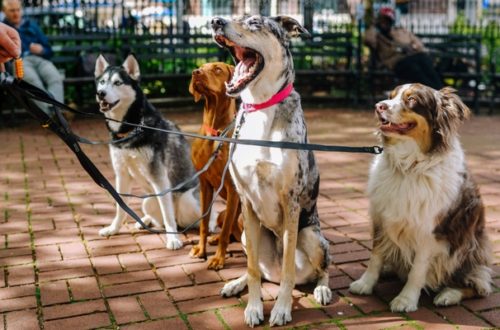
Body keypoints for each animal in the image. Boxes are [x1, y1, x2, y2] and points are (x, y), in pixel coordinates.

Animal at [94, 54, 213, 250]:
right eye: (102, 82)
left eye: (118, 83)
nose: (101, 93)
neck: (132, 128)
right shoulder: (121, 174)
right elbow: (120, 207)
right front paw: (113, 229)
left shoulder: (160, 177)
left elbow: (167, 213)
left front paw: (173, 239)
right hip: (148, 201)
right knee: (161, 218)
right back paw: (146, 221)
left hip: (187, 200)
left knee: (205, 215)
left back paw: (208, 225)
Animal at [188, 62, 243, 270]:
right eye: (200, 67)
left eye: (217, 69)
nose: (195, 73)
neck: (215, 134)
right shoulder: (204, 184)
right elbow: (204, 224)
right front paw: (201, 249)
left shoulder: (233, 188)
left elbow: (226, 231)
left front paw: (219, 259)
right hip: (221, 213)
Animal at [211, 16, 332, 328]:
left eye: (254, 22)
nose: (215, 21)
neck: (261, 107)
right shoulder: (246, 201)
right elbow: (253, 269)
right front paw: (254, 308)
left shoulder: (291, 202)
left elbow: (289, 269)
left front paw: (281, 309)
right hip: (245, 234)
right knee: (260, 270)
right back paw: (236, 284)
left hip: (312, 237)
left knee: (321, 269)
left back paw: (322, 289)